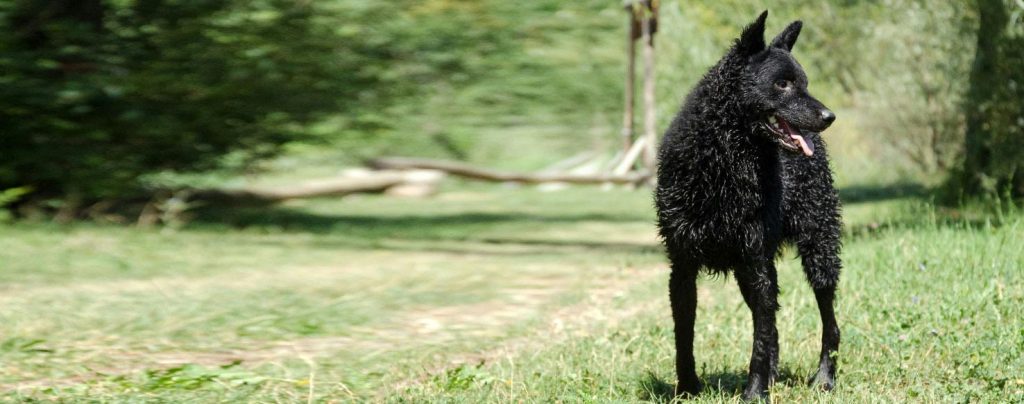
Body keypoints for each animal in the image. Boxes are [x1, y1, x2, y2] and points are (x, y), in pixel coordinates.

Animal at [655, 11, 839, 402]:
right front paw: (687, 388)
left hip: (819, 251)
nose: (829, 116)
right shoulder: (683, 266)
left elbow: (760, 338)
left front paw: (755, 391)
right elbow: (684, 335)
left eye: (804, 82)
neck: (724, 162)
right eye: (783, 84)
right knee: (772, 321)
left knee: (828, 320)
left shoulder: (755, 261)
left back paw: (825, 378)